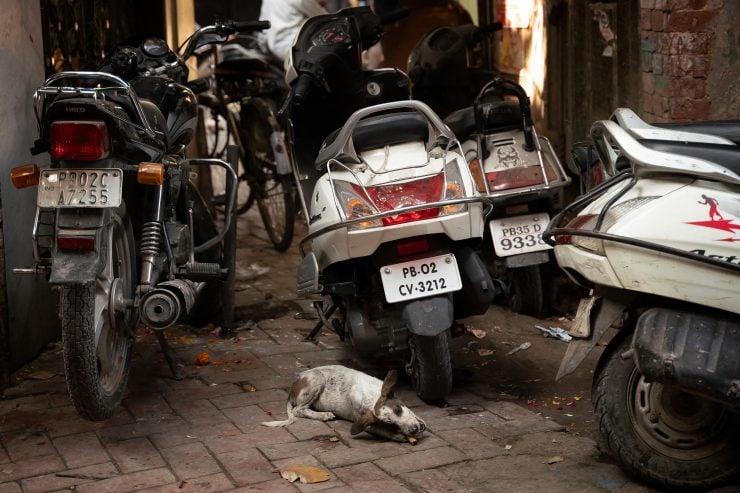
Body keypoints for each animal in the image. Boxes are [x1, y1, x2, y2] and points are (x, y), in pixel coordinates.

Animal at [260, 366, 424, 442]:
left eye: (398, 410)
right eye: (392, 425)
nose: (415, 429)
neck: (373, 397)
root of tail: (293, 387)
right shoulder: (364, 422)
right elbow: (381, 431)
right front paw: (398, 436)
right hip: (317, 379)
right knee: (298, 410)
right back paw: (323, 415)